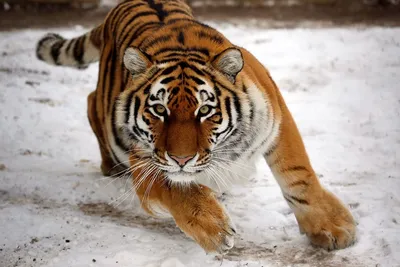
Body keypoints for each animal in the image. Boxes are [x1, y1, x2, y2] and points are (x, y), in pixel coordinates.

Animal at [36, 0, 356, 255]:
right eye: (159, 110)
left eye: (204, 110)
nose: (182, 159)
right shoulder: (144, 160)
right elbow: (177, 189)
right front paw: (214, 228)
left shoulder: (276, 115)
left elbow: (298, 174)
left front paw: (331, 226)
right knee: (92, 100)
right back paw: (110, 166)